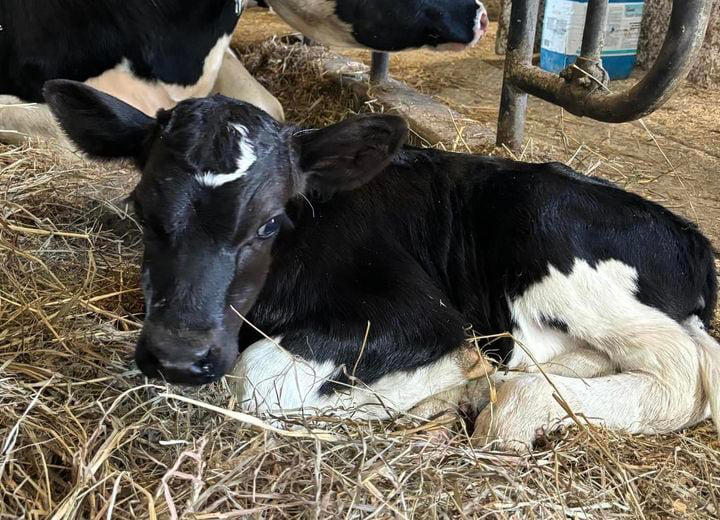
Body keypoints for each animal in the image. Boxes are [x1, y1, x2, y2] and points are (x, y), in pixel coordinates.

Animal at [45, 79, 720, 448]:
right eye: (141, 208)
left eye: (270, 221)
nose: (179, 358)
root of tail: (691, 237)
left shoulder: (423, 313)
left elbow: (253, 374)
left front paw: (443, 381)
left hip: (552, 233)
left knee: (682, 371)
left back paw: (510, 406)